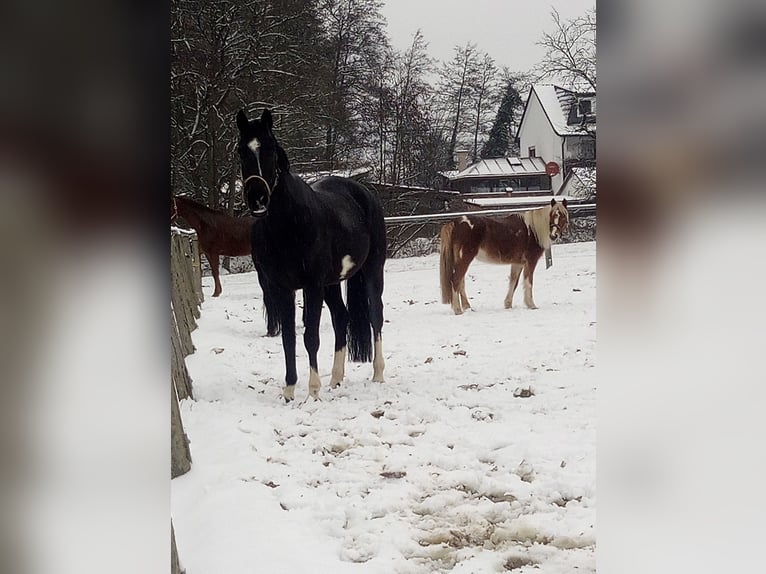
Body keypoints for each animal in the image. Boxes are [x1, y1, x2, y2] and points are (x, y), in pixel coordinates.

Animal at [237, 109, 388, 404]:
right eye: (240, 151)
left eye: (270, 149)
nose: (257, 199)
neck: (289, 225)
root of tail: (365, 193)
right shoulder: (282, 288)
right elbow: (289, 339)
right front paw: (289, 390)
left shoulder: (312, 286)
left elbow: (311, 337)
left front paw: (313, 391)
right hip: (332, 283)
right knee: (342, 317)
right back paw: (337, 379)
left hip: (372, 271)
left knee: (376, 314)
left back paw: (377, 374)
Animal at [438, 198, 568, 316]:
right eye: (552, 215)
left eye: (563, 216)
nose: (553, 235)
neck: (533, 230)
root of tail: (455, 222)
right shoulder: (531, 261)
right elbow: (528, 282)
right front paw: (531, 305)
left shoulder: (518, 263)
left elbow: (514, 282)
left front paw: (508, 304)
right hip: (464, 258)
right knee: (456, 280)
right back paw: (458, 310)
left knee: (461, 282)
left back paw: (467, 307)